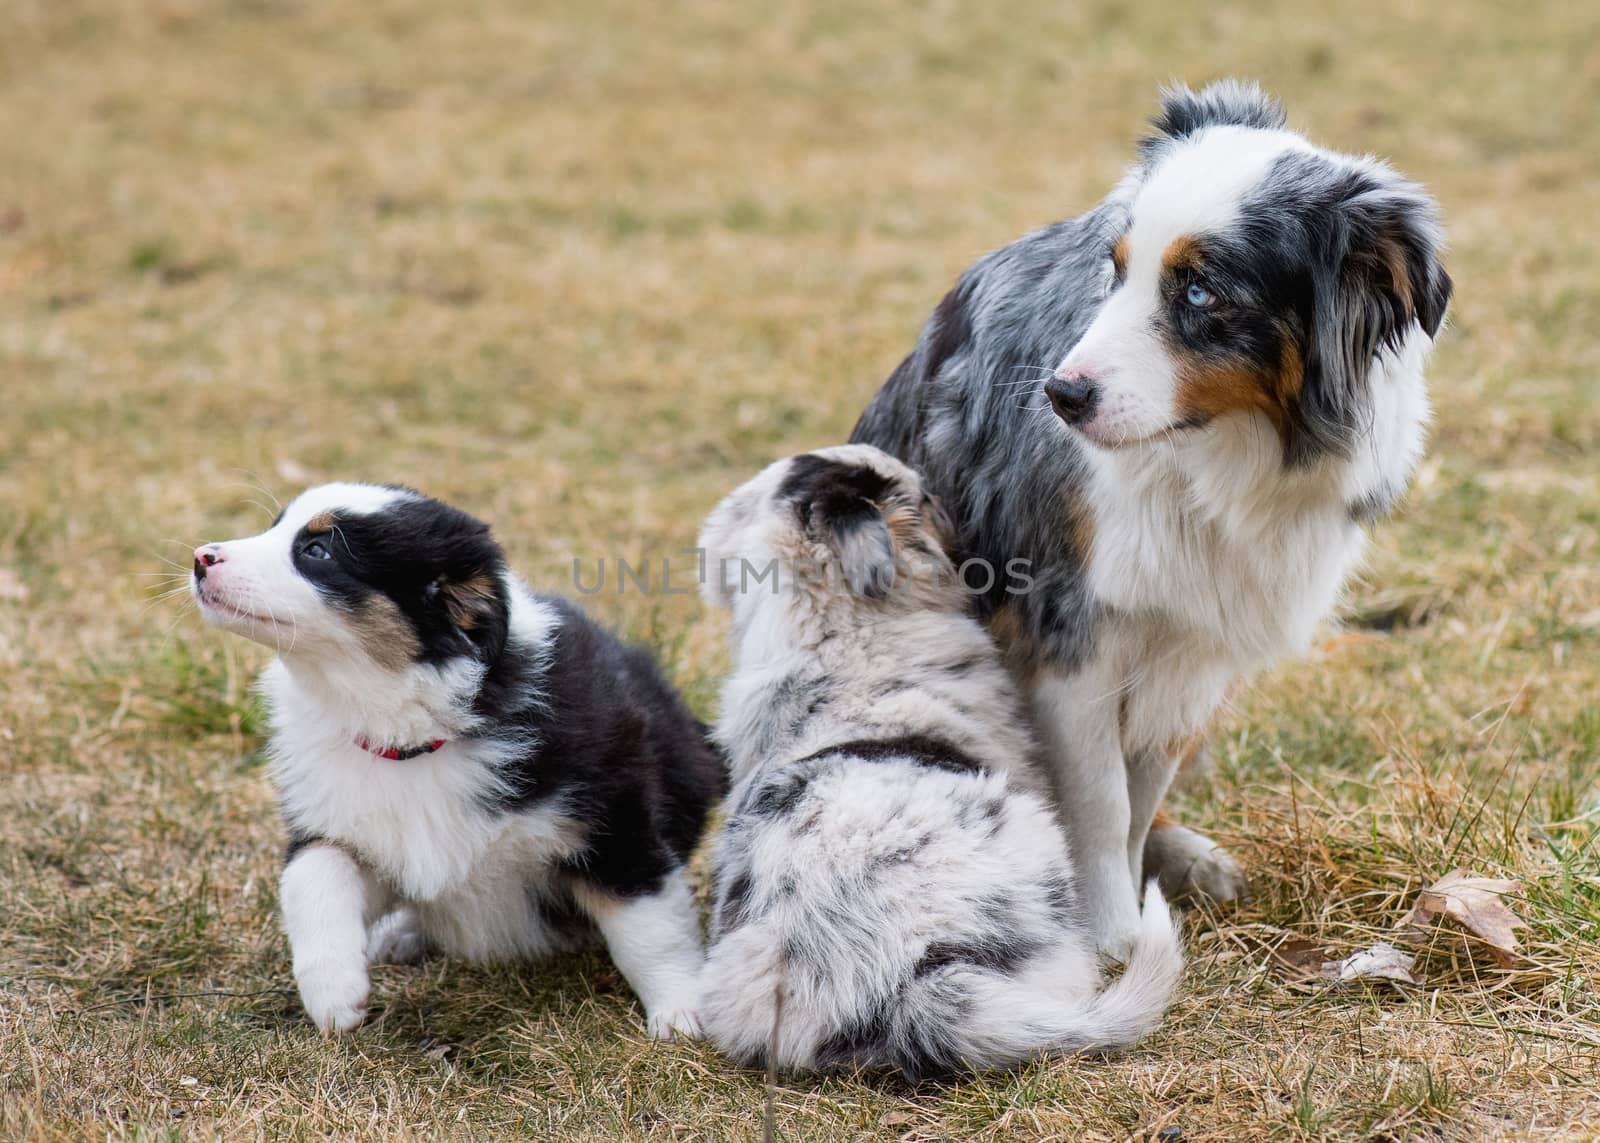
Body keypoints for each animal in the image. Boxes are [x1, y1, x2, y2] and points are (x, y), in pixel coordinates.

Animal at [188, 480, 732, 1030]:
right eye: (275, 527)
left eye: (317, 551)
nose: (200, 557)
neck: (409, 737)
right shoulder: (341, 822)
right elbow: (310, 877)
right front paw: (334, 996)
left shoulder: (610, 820)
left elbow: (647, 926)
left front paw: (682, 1012)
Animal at [857, 78, 1459, 954]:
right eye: (1115, 271)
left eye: (1201, 291)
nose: (1060, 395)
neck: (1208, 454)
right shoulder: (1068, 630)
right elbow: (1103, 801)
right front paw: (1110, 935)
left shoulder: (1194, 639)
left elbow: (1141, 795)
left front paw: (1138, 901)